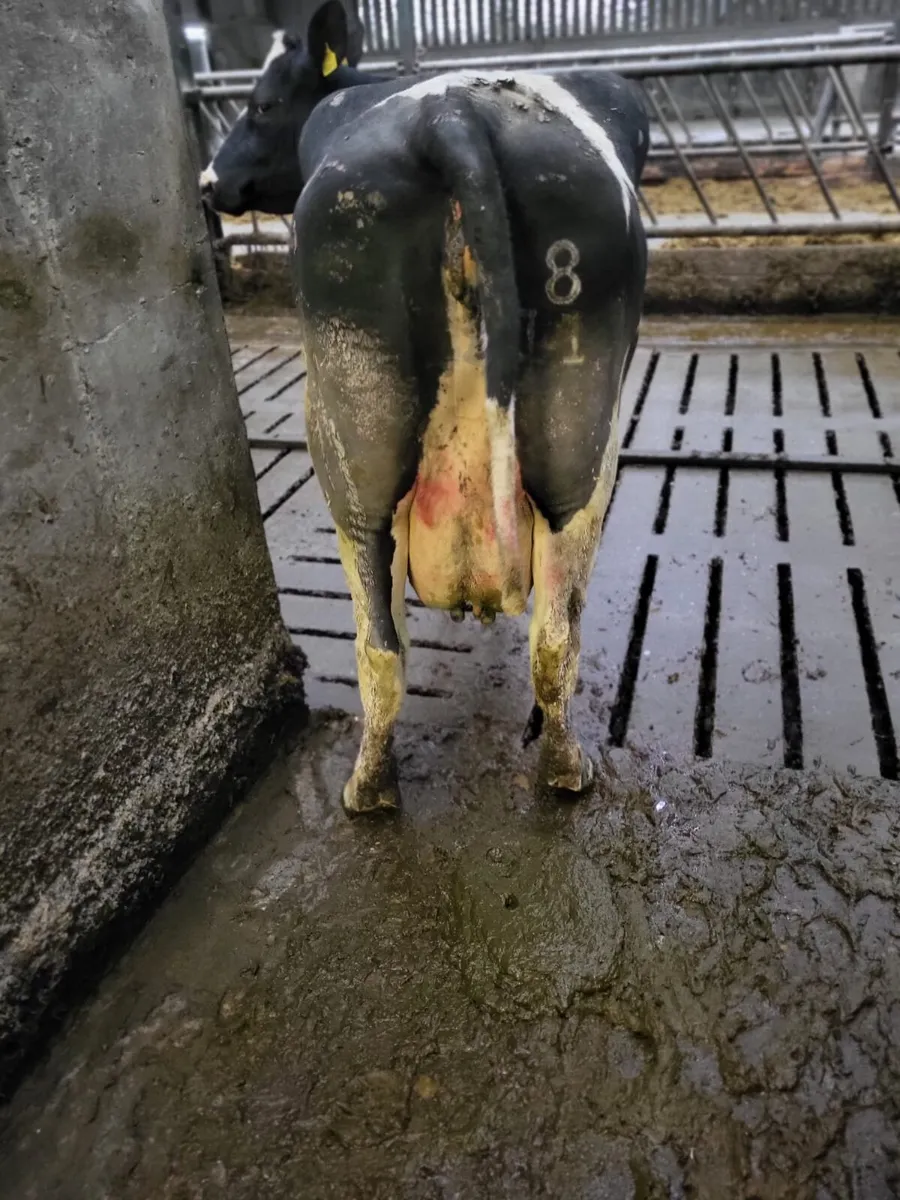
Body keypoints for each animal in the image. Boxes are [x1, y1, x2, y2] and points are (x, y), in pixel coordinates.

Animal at [201, 0, 650, 817]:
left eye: (262, 104)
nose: (208, 181)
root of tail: (451, 113)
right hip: (580, 424)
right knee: (547, 633)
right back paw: (557, 771)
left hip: (348, 433)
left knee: (386, 637)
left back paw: (375, 790)